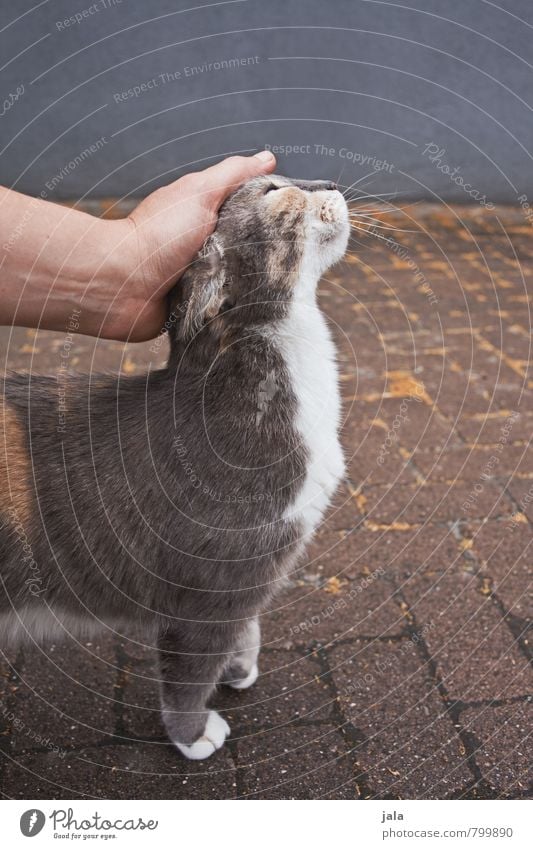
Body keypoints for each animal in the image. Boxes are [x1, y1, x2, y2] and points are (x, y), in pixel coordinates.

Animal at [0, 176, 350, 760]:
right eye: (275, 189)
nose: (329, 182)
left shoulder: (244, 583)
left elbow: (246, 627)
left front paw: (238, 665)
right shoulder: (208, 590)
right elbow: (189, 671)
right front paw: (193, 734)